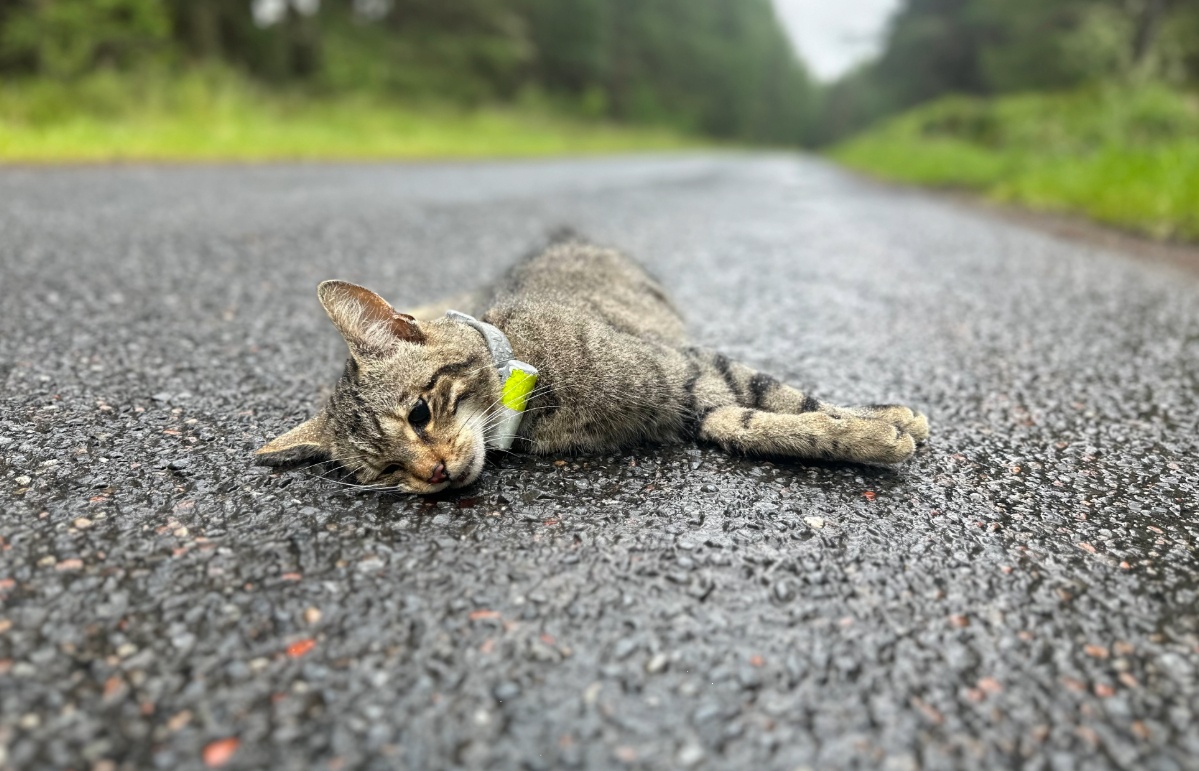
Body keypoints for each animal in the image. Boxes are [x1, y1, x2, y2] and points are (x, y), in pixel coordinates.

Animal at [255, 236, 925, 494]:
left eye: (420, 414)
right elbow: (751, 423)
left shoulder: (688, 368)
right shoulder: (697, 401)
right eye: (388, 471)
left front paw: (884, 422)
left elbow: (789, 402)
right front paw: (871, 430)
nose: (435, 473)